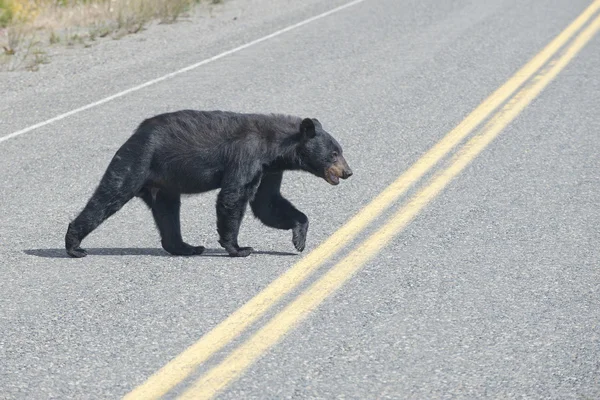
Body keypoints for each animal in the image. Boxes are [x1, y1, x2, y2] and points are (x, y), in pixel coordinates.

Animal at [67, 111, 352, 258]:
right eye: (334, 153)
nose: (348, 172)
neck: (274, 146)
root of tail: (134, 134)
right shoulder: (247, 155)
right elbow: (233, 196)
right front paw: (239, 248)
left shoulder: (269, 169)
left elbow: (267, 203)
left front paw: (299, 238)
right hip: (136, 161)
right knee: (109, 195)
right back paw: (74, 245)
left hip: (164, 185)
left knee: (167, 212)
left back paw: (186, 247)